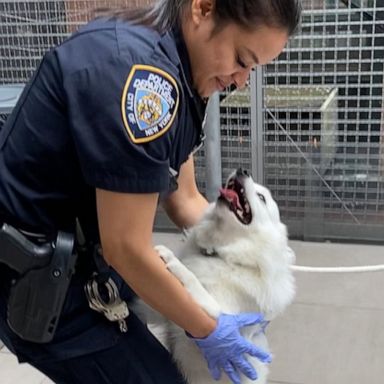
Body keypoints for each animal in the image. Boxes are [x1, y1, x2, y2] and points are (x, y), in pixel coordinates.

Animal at [144, 170, 294, 382]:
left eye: (262, 197)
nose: (242, 171)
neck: (223, 256)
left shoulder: (219, 314)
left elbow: (193, 281)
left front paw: (172, 260)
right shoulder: (166, 308)